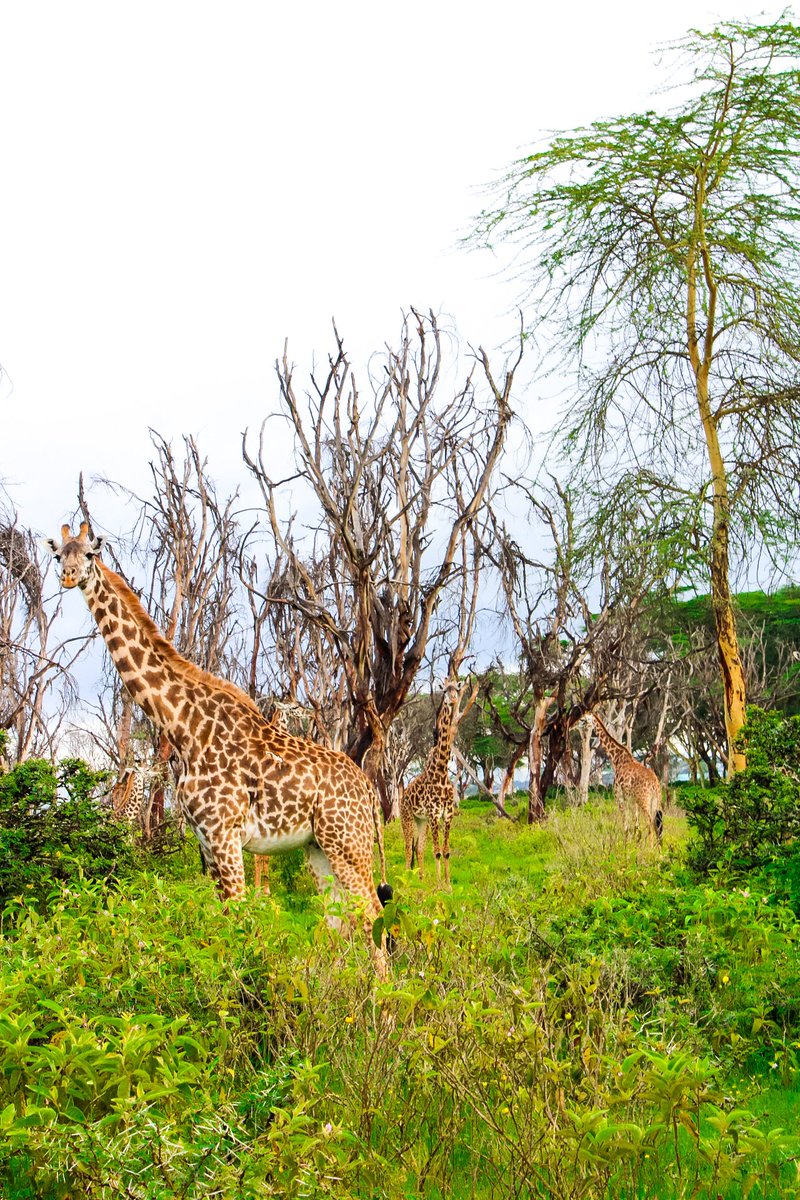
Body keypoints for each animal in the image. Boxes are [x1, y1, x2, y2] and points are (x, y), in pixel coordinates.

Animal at [45, 525, 393, 974]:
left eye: (89, 554)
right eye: (58, 556)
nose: (69, 577)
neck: (183, 727)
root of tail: (367, 788)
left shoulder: (225, 835)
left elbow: (240, 918)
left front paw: (252, 984)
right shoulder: (206, 841)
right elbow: (220, 922)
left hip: (348, 841)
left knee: (370, 914)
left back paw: (385, 995)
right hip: (318, 846)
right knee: (339, 919)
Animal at [400, 681, 474, 888]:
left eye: (456, 688)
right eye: (445, 690)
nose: (453, 700)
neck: (441, 772)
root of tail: (402, 795)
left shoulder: (447, 814)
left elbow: (446, 851)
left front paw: (448, 885)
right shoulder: (434, 814)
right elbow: (437, 851)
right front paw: (439, 885)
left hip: (421, 820)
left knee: (418, 848)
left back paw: (421, 880)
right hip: (407, 817)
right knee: (408, 847)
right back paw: (406, 881)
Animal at [592, 705, 666, 849]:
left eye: (583, 717)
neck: (617, 758)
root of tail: (655, 784)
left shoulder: (619, 796)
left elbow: (626, 825)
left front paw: (626, 848)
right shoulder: (632, 800)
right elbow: (635, 825)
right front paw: (634, 846)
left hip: (644, 799)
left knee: (649, 821)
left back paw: (650, 850)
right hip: (655, 800)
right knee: (657, 822)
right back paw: (659, 850)